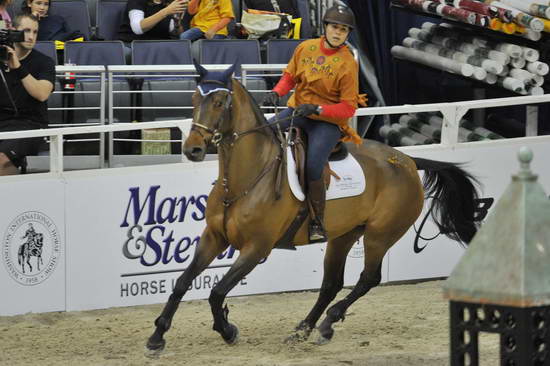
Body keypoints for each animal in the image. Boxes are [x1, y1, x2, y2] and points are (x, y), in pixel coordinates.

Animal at [146, 63, 478, 352]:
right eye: (193, 99)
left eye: (218, 102)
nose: (192, 149)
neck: (244, 180)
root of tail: (407, 161)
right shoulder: (214, 237)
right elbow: (182, 282)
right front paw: (157, 336)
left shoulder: (256, 248)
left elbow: (216, 292)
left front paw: (228, 330)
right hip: (343, 236)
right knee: (331, 283)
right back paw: (304, 328)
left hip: (379, 235)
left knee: (367, 279)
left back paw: (328, 323)